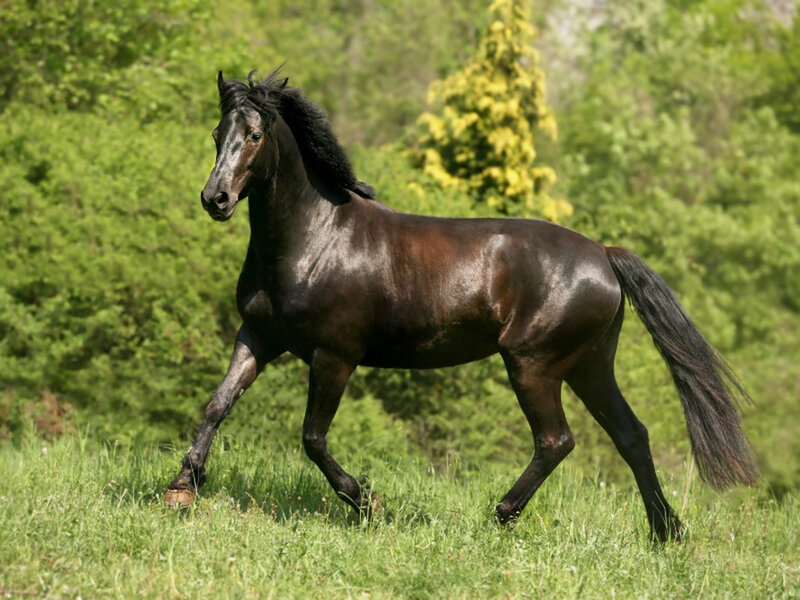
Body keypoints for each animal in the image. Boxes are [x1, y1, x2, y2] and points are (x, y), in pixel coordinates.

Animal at [164, 69, 758, 542]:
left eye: (255, 135)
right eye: (217, 133)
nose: (215, 199)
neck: (315, 239)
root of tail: (604, 257)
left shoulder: (335, 356)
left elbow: (312, 438)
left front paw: (369, 503)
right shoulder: (258, 337)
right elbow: (217, 404)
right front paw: (180, 489)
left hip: (534, 365)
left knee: (556, 440)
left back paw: (501, 514)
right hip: (589, 365)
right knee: (631, 435)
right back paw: (666, 531)